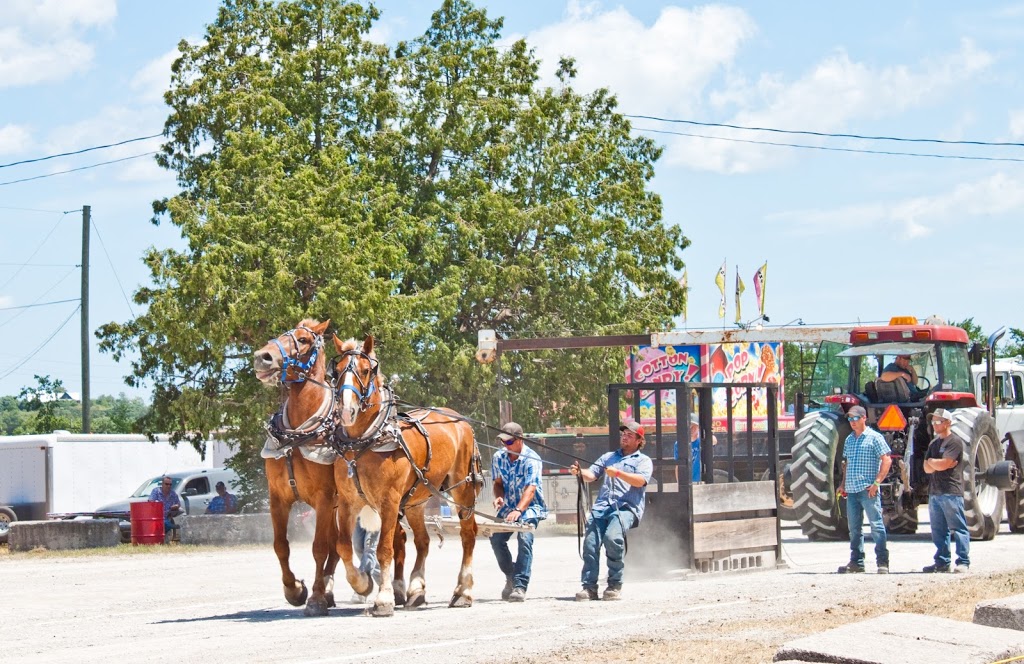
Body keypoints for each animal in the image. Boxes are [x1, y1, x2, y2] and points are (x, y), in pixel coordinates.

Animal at [251, 319, 368, 614]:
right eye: (281, 334)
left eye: (303, 340)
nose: (262, 357)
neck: (298, 434)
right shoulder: (277, 498)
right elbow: (281, 546)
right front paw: (294, 589)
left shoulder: (324, 499)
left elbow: (320, 548)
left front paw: (314, 597)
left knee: (334, 547)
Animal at [331, 338, 483, 618]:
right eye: (336, 371)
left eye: (365, 371)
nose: (347, 411)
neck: (365, 442)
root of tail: (461, 421)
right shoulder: (348, 502)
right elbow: (344, 546)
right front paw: (362, 583)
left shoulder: (389, 501)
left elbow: (384, 548)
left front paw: (383, 599)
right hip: (416, 500)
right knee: (423, 541)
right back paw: (416, 589)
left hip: (463, 489)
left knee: (468, 534)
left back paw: (463, 592)